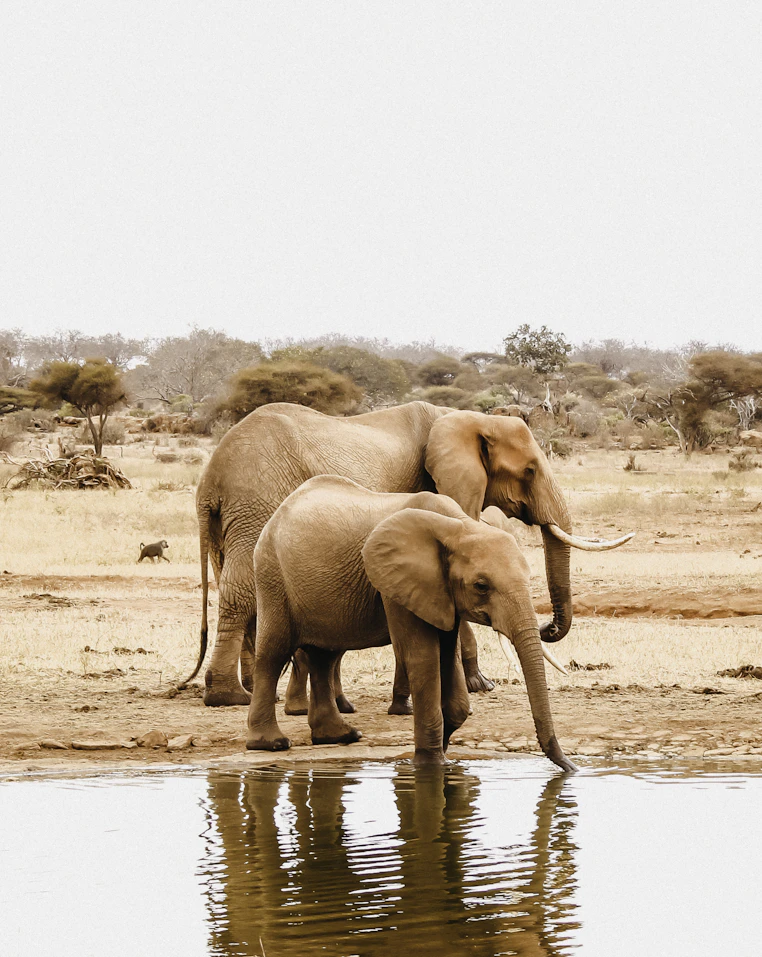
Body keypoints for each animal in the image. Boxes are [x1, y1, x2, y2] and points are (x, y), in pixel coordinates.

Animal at [186, 400, 631, 708]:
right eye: (530, 471)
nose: (546, 628)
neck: (465, 418)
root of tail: (210, 479)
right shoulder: (437, 490)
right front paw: (480, 685)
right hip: (256, 500)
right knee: (241, 588)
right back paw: (231, 697)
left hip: (235, 515)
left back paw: (258, 690)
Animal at [245, 474, 577, 772]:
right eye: (481, 586)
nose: (570, 768)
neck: (459, 526)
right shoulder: (395, 584)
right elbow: (423, 657)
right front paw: (430, 765)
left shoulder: (441, 592)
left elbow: (448, 658)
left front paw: (444, 752)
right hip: (272, 573)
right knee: (273, 653)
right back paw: (270, 743)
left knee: (324, 656)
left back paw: (339, 737)